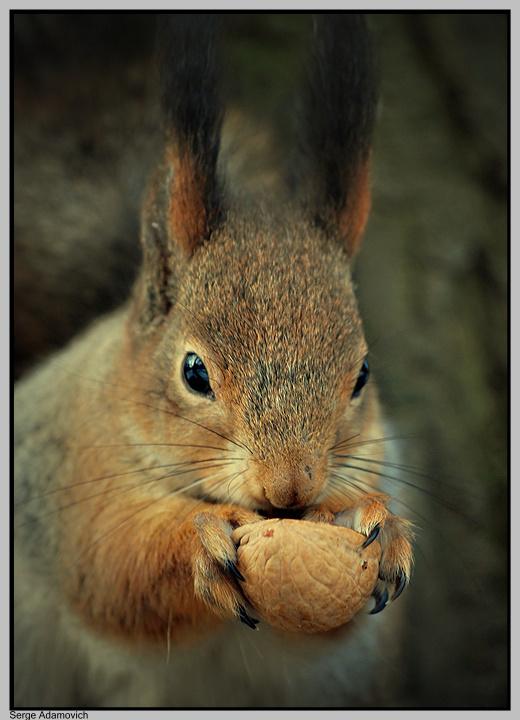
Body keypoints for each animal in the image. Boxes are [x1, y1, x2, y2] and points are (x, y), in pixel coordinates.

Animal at [14, 13, 414, 708]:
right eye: (193, 372)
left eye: (362, 374)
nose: (289, 488)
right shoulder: (72, 484)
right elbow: (117, 576)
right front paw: (201, 539)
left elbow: (322, 619)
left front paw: (379, 525)